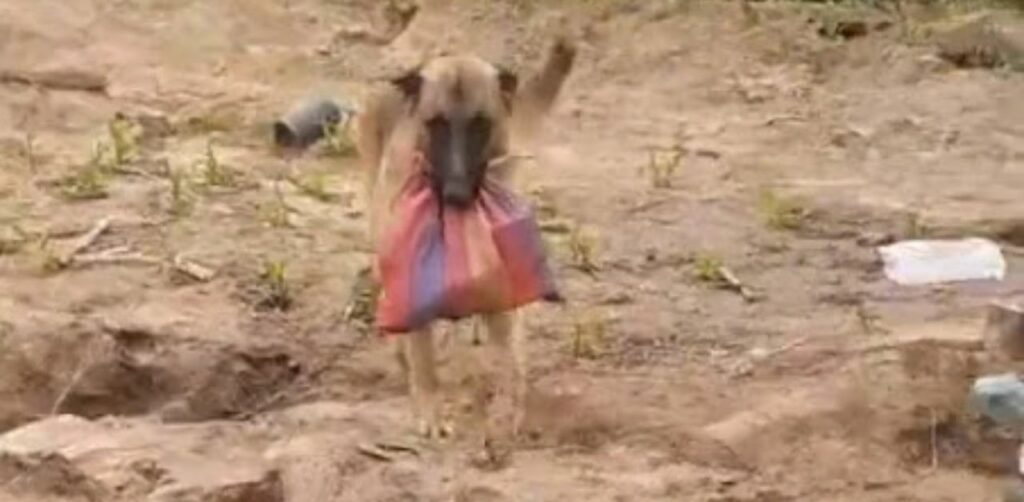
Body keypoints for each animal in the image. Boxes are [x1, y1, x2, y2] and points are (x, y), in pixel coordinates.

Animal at [354, 39, 577, 446]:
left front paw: (505, 412)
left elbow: (507, 359)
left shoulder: (502, 296)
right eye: (436, 124)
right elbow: (423, 357)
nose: (457, 194)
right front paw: (430, 410)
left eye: (480, 125)